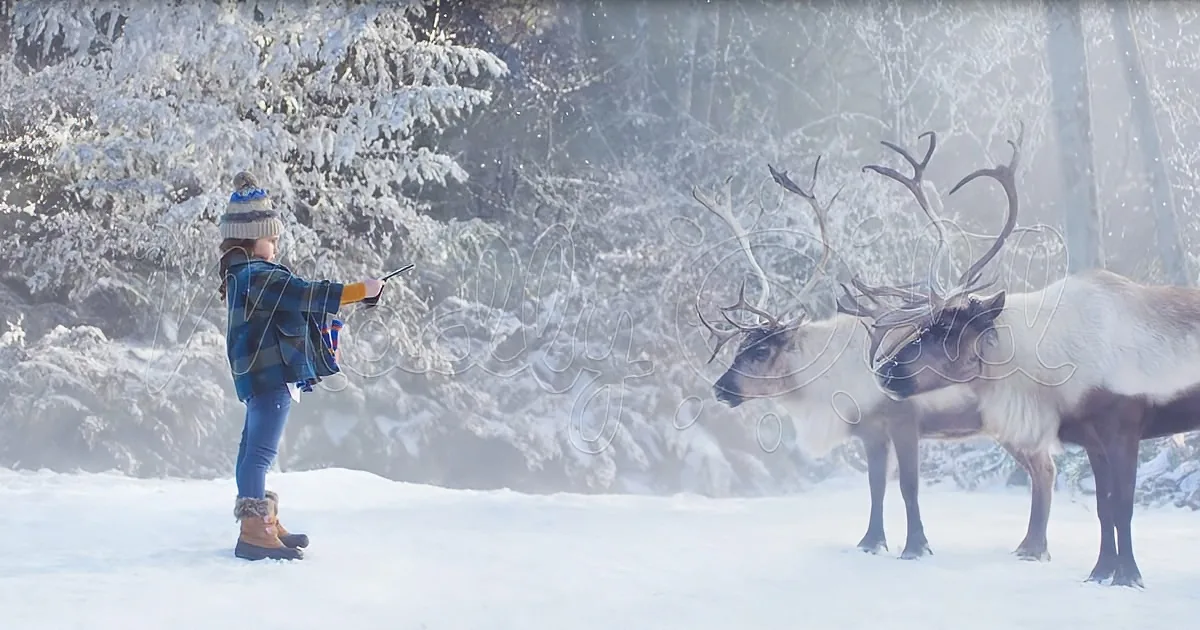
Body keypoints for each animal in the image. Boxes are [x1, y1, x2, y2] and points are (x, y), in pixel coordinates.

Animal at [691, 143, 1058, 562]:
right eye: (739, 346)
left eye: (761, 351)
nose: (720, 389)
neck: (828, 380)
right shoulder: (870, 431)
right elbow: (875, 486)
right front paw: (870, 542)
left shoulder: (903, 418)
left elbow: (908, 487)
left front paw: (916, 547)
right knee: (1041, 468)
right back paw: (1030, 546)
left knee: (1045, 468)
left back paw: (1035, 549)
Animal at [861, 125, 1200, 588]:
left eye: (947, 329)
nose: (884, 370)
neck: (1048, 370)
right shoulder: (1090, 435)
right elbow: (1104, 508)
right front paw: (1100, 572)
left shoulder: (1123, 426)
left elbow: (1124, 507)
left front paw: (1129, 576)